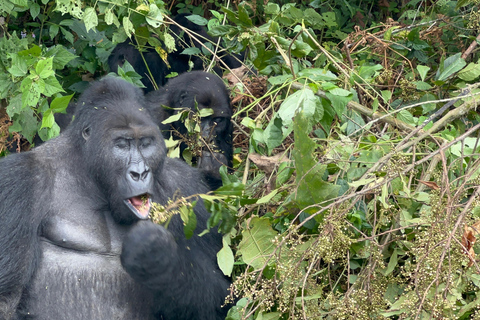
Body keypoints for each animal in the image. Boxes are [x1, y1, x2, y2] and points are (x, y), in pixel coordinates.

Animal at [0, 76, 231, 318]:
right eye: (122, 144)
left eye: (145, 143)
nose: (140, 173)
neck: (89, 175)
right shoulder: (19, 180)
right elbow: (7, 299)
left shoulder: (188, 188)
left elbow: (220, 295)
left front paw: (157, 258)